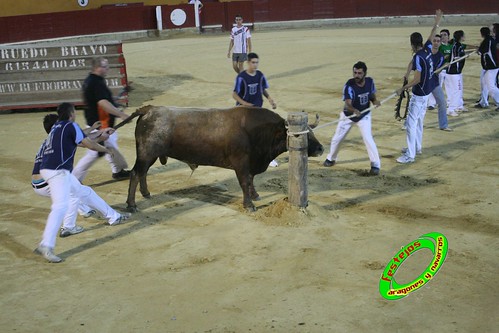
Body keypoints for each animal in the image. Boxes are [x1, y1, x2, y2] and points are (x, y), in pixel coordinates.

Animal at [119, 105, 326, 211]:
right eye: (302, 135)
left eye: (312, 133)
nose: (321, 148)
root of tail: (150, 109)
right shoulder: (241, 164)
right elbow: (245, 182)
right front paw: (249, 205)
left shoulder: (251, 163)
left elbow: (251, 180)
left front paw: (255, 195)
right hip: (146, 154)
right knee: (135, 174)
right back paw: (132, 205)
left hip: (149, 156)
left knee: (143, 173)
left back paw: (146, 193)